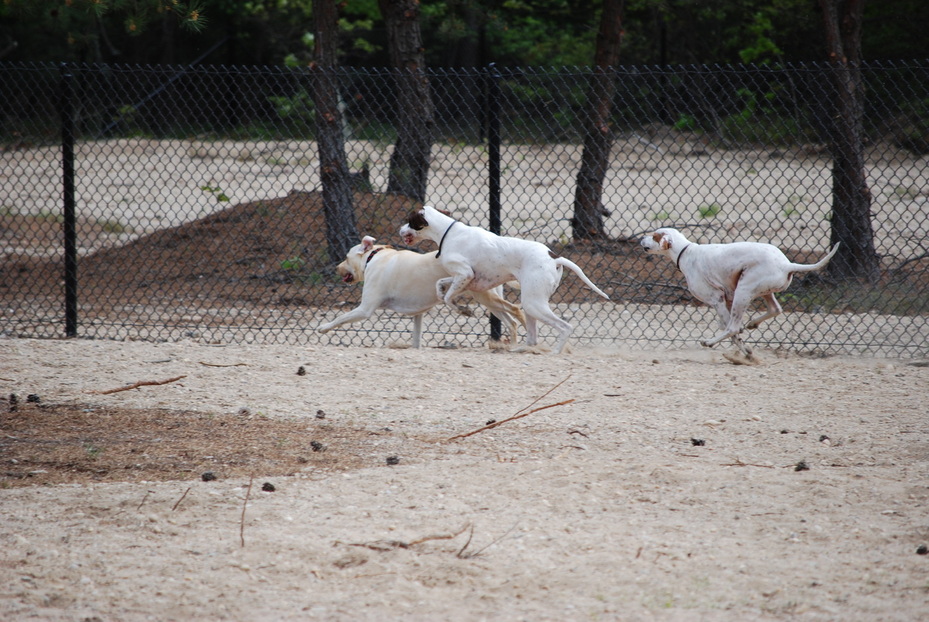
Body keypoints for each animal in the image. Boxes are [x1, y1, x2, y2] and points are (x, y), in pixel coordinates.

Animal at [640, 227, 836, 358]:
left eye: (654, 235)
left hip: (743, 292)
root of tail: (787, 264)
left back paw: (709, 342)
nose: (641, 237)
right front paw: (745, 348)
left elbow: (731, 330)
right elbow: (729, 328)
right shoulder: (727, 300)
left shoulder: (717, 300)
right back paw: (752, 324)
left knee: (733, 327)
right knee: (775, 309)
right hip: (760, 292)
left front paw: (744, 351)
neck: (685, 252)